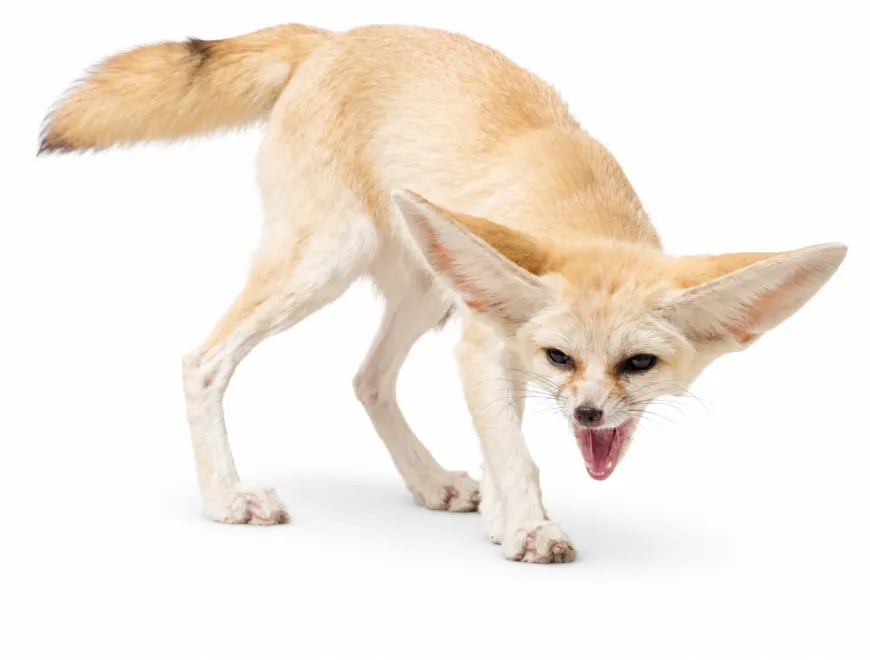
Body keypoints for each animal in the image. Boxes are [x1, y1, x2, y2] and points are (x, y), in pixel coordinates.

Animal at [40, 22, 847, 563]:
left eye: (638, 365)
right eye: (560, 358)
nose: (587, 413)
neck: (578, 203)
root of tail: (332, 35)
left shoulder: (484, 327)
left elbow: (501, 444)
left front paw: (501, 516)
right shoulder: (486, 344)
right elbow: (516, 452)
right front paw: (528, 527)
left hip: (429, 286)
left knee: (367, 379)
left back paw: (428, 482)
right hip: (323, 265)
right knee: (203, 361)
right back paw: (225, 499)